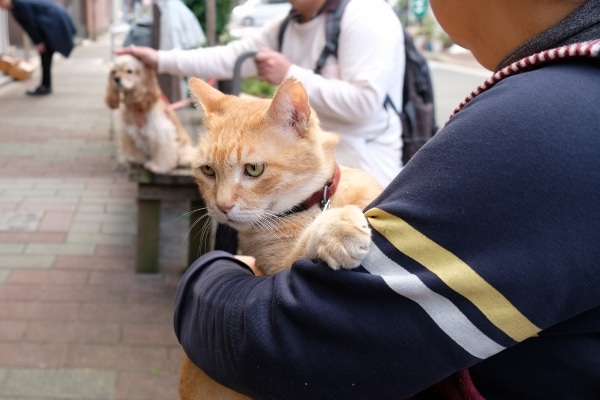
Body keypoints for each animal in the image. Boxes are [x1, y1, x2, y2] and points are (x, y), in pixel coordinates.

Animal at [179, 76, 383, 400]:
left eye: (253, 169)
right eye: (208, 170)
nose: (221, 206)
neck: (314, 206)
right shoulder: (278, 273)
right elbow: (304, 244)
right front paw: (335, 227)